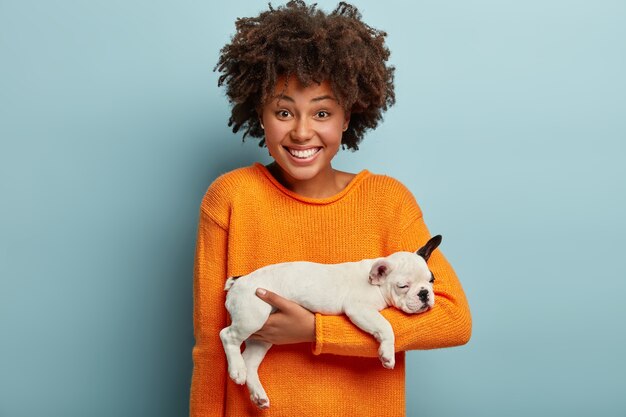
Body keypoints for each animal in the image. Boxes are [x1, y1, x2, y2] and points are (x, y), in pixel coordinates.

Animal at [218, 234, 438, 410]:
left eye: (431, 280)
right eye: (403, 286)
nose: (424, 294)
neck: (376, 283)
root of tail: (239, 281)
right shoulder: (359, 309)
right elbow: (385, 326)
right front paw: (387, 354)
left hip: (262, 336)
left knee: (250, 362)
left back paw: (257, 393)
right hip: (253, 316)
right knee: (227, 335)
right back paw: (237, 370)